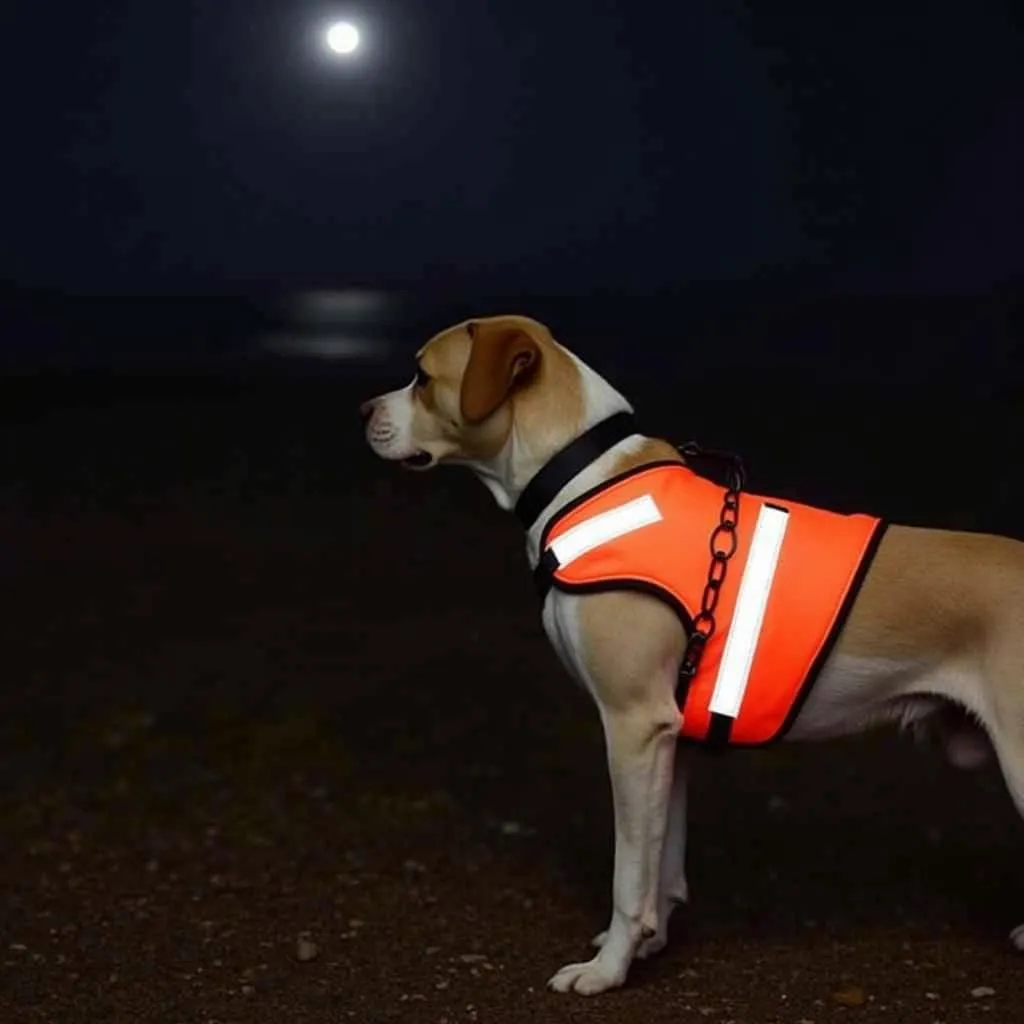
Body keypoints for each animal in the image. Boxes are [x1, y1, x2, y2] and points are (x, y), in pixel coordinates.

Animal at [360, 315, 1024, 995]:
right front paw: (647, 944)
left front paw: (607, 970)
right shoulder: (669, 738)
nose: (363, 411)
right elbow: (663, 859)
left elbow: (629, 873)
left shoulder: (632, 726)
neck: (577, 478)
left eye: (422, 376)